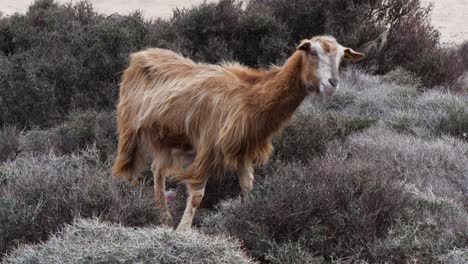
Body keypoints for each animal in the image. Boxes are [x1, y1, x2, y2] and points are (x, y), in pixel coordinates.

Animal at [111, 36, 364, 230]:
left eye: (341, 58)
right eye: (312, 52)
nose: (332, 83)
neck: (250, 96)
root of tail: (139, 55)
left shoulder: (244, 149)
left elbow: (247, 186)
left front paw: (247, 217)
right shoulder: (209, 145)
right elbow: (197, 196)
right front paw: (183, 231)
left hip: (170, 138)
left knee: (158, 170)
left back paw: (162, 214)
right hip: (130, 127)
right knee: (128, 169)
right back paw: (131, 202)